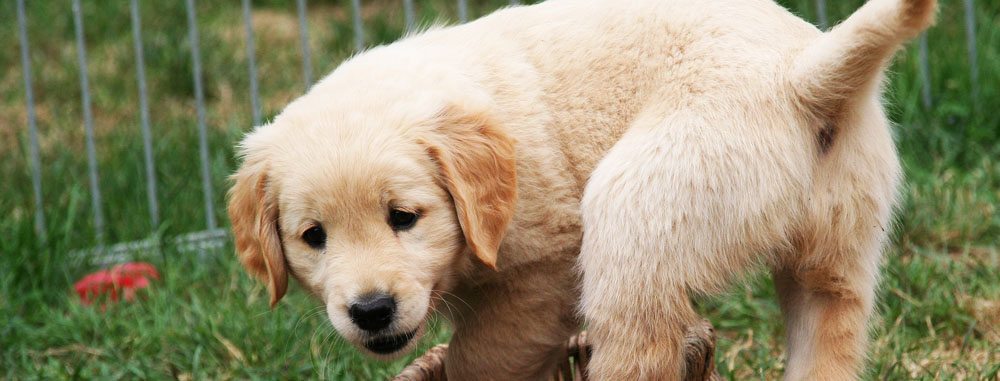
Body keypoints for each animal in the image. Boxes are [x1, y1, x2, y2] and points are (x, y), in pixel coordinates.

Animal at [230, 0, 932, 378]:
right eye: (313, 237)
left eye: (405, 217)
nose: (371, 311)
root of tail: (800, 79)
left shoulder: (540, 275)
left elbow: (481, 357)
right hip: (838, 254)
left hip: (635, 211)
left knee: (638, 351)